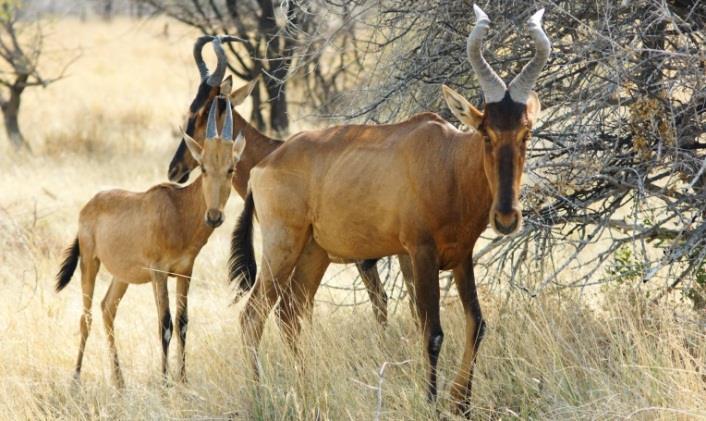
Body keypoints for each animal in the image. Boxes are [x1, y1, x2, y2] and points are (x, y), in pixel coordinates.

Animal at [55, 81, 243, 384]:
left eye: (231, 168)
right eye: (204, 167)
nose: (214, 216)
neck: (177, 208)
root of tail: (89, 205)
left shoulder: (184, 272)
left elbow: (182, 322)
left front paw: (182, 380)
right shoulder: (159, 273)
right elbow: (164, 323)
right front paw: (165, 382)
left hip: (122, 276)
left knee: (107, 308)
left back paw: (120, 383)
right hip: (89, 262)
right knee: (86, 318)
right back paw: (75, 381)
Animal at [231, 5, 552, 414]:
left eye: (526, 132)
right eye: (486, 132)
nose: (507, 217)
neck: (446, 159)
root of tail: (264, 165)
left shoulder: (462, 256)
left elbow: (476, 323)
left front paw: (461, 403)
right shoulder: (420, 252)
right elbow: (432, 331)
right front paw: (432, 403)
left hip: (313, 254)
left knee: (292, 313)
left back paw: (306, 389)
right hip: (280, 248)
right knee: (252, 316)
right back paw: (260, 395)